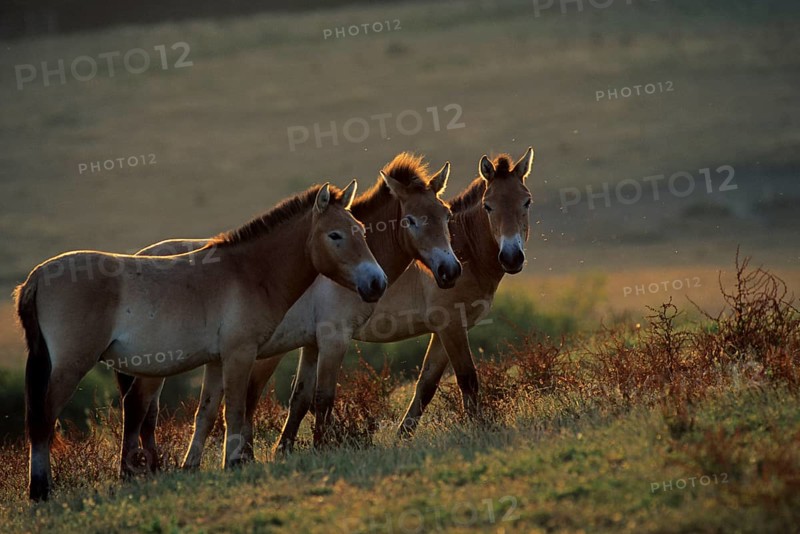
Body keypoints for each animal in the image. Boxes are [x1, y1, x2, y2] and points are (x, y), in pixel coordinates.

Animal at [15, 180, 387, 501]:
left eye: (361, 230)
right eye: (335, 235)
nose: (376, 282)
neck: (248, 272)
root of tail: (37, 277)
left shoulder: (217, 361)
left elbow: (208, 412)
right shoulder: (240, 354)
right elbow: (235, 410)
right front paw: (234, 463)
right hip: (71, 368)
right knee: (44, 421)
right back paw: (41, 491)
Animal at [114, 152, 462, 469]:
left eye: (446, 216)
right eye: (411, 220)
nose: (450, 270)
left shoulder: (310, 344)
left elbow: (301, 399)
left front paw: (284, 450)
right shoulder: (333, 339)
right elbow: (322, 397)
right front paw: (321, 448)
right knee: (138, 407)